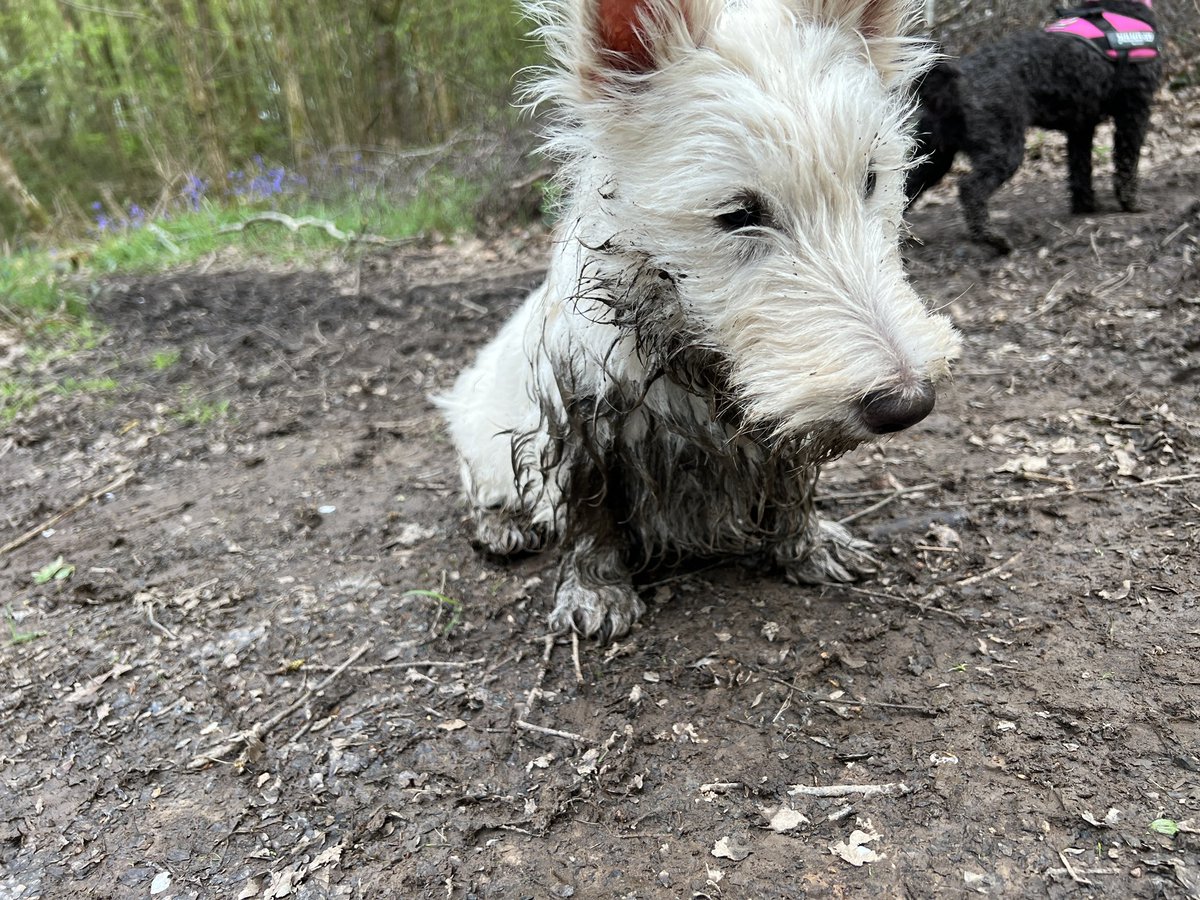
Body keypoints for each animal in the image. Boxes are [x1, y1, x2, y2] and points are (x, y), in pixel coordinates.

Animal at [436, 0, 960, 643]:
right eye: (737, 214)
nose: (908, 402)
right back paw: (501, 525)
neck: (688, 343)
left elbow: (790, 478)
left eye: (871, 178)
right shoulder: (578, 415)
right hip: (477, 426)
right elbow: (589, 509)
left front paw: (807, 543)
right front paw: (595, 590)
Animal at [907, 2, 1161, 254]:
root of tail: (953, 85)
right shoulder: (1134, 110)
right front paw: (1131, 204)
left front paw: (1086, 206)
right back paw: (993, 238)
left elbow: (1080, 169)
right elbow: (1127, 162)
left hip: (932, 158)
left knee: (904, 190)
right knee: (970, 189)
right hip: (1003, 149)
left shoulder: (1081, 125)